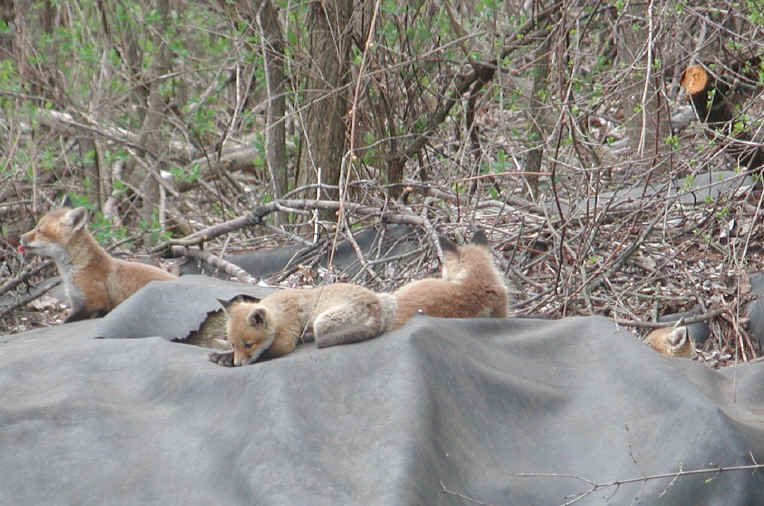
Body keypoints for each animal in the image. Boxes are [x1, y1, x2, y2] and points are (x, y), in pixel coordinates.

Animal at [18, 206, 177, 322]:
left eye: (39, 230)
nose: (20, 238)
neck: (74, 271)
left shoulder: (96, 303)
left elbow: (71, 319)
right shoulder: (76, 302)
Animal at [208, 283, 397, 367]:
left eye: (249, 345)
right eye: (233, 344)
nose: (238, 365)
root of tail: (377, 306)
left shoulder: (285, 340)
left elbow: (263, 354)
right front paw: (224, 356)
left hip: (322, 322)